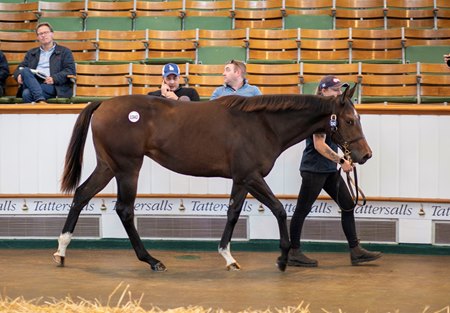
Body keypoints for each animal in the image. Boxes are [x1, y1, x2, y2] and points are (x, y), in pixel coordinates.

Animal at [52, 84, 370, 270]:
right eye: (349, 120)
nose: (364, 155)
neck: (262, 125)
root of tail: (103, 104)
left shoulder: (241, 180)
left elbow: (233, 212)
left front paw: (228, 256)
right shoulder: (251, 176)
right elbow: (279, 209)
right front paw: (282, 258)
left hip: (108, 166)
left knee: (81, 194)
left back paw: (62, 250)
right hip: (128, 168)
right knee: (124, 210)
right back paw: (152, 260)